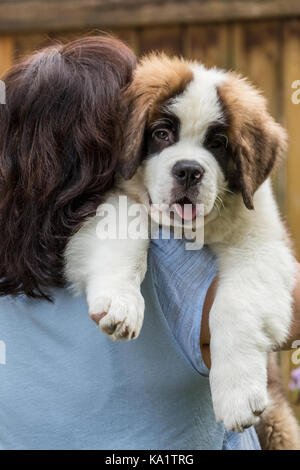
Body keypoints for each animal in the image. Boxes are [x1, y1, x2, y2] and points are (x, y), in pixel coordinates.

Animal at [65, 54, 298, 436]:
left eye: (218, 143)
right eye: (161, 134)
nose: (188, 170)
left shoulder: (261, 246)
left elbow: (235, 305)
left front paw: (237, 394)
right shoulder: (112, 199)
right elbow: (126, 226)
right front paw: (120, 302)